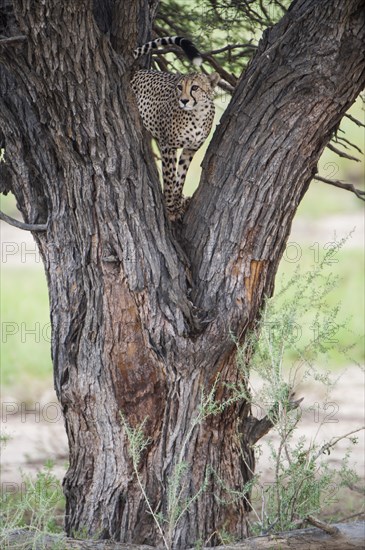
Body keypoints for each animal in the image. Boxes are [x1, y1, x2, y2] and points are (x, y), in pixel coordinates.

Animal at [130, 35, 218, 222]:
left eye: (195, 87)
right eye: (179, 87)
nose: (183, 100)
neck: (197, 114)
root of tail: (140, 71)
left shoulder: (190, 149)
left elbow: (181, 176)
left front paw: (177, 204)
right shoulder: (168, 145)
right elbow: (170, 176)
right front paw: (170, 207)